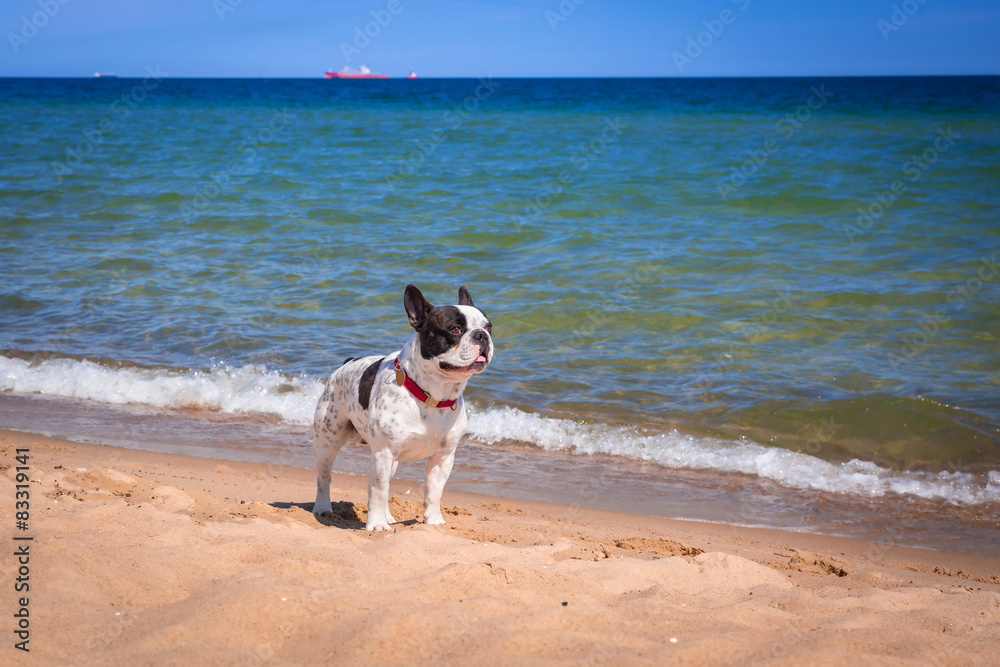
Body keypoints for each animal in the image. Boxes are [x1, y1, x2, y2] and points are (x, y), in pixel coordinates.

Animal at [312, 286, 492, 532]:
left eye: (489, 327)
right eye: (455, 329)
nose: (482, 335)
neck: (434, 395)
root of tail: (347, 363)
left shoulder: (443, 457)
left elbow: (434, 491)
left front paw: (433, 521)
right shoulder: (383, 453)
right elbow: (378, 490)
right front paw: (376, 525)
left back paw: (388, 517)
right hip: (328, 441)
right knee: (324, 477)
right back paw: (323, 509)